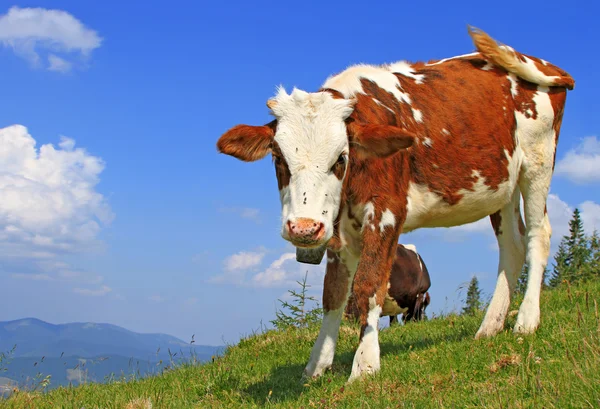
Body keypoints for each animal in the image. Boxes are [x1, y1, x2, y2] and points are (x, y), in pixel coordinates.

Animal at [216, 27, 572, 380]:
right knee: (512, 246)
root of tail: (539, 61)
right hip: (503, 186)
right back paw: (490, 326)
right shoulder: (338, 227)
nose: (303, 228)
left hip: (538, 162)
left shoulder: (387, 211)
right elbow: (334, 294)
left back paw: (526, 320)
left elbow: (369, 285)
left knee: (538, 235)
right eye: (278, 158)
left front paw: (365, 365)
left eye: (341, 157)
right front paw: (317, 364)